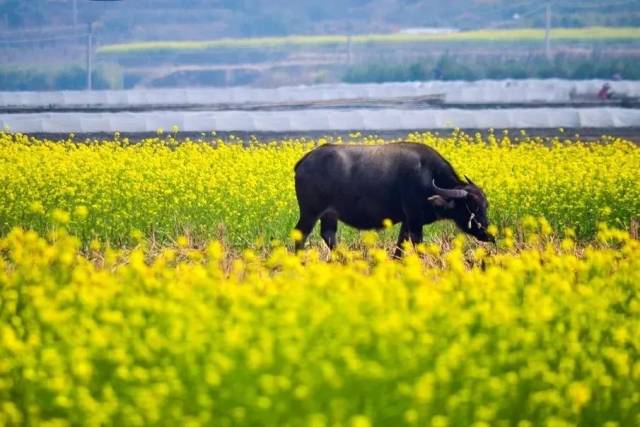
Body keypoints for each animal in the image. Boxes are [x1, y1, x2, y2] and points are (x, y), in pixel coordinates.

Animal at [292, 141, 492, 258]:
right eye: (472, 207)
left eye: (485, 206)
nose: (490, 234)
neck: (427, 176)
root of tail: (303, 161)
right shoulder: (414, 220)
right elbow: (417, 245)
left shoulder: (407, 221)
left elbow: (400, 245)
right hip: (310, 212)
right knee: (300, 234)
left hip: (329, 215)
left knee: (328, 235)